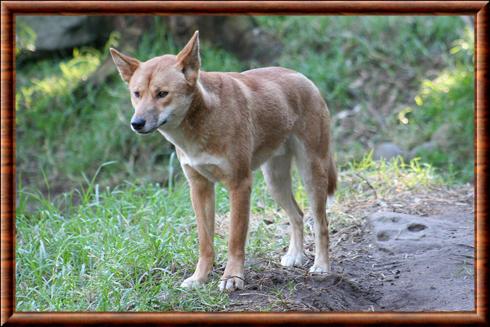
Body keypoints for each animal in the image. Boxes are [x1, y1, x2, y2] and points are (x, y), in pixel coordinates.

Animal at [110, 31, 336, 292]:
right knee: (297, 215)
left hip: (311, 173)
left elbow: (234, 240)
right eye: (137, 94)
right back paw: (296, 256)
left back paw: (321, 266)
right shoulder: (199, 187)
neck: (201, 123)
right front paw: (199, 278)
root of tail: (303, 77)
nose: (136, 123)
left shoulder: (239, 184)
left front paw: (232, 278)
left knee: (321, 222)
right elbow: (205, 243)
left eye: (162, 93)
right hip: (275, 182)